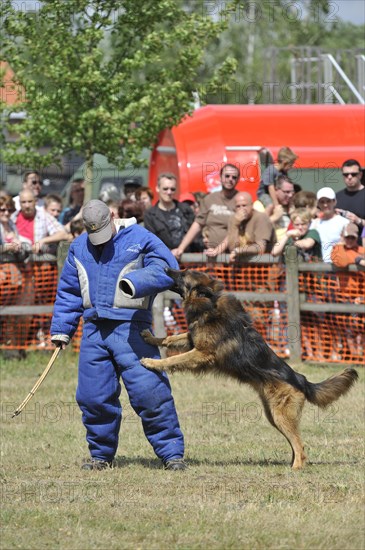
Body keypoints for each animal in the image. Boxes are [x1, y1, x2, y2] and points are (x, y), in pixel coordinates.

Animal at [141, 268, 356, 470]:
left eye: (183, 273)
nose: (166, 268)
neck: (209, 302)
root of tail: (301, 379)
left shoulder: (201, 353)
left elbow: (174, 358)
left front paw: (152, 363)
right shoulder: (193, 340)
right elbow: (171, 338)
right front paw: (151, 337)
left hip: (281, 415)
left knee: (300, 447)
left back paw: (296, 468)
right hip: (273, 415)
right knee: (295, 444)